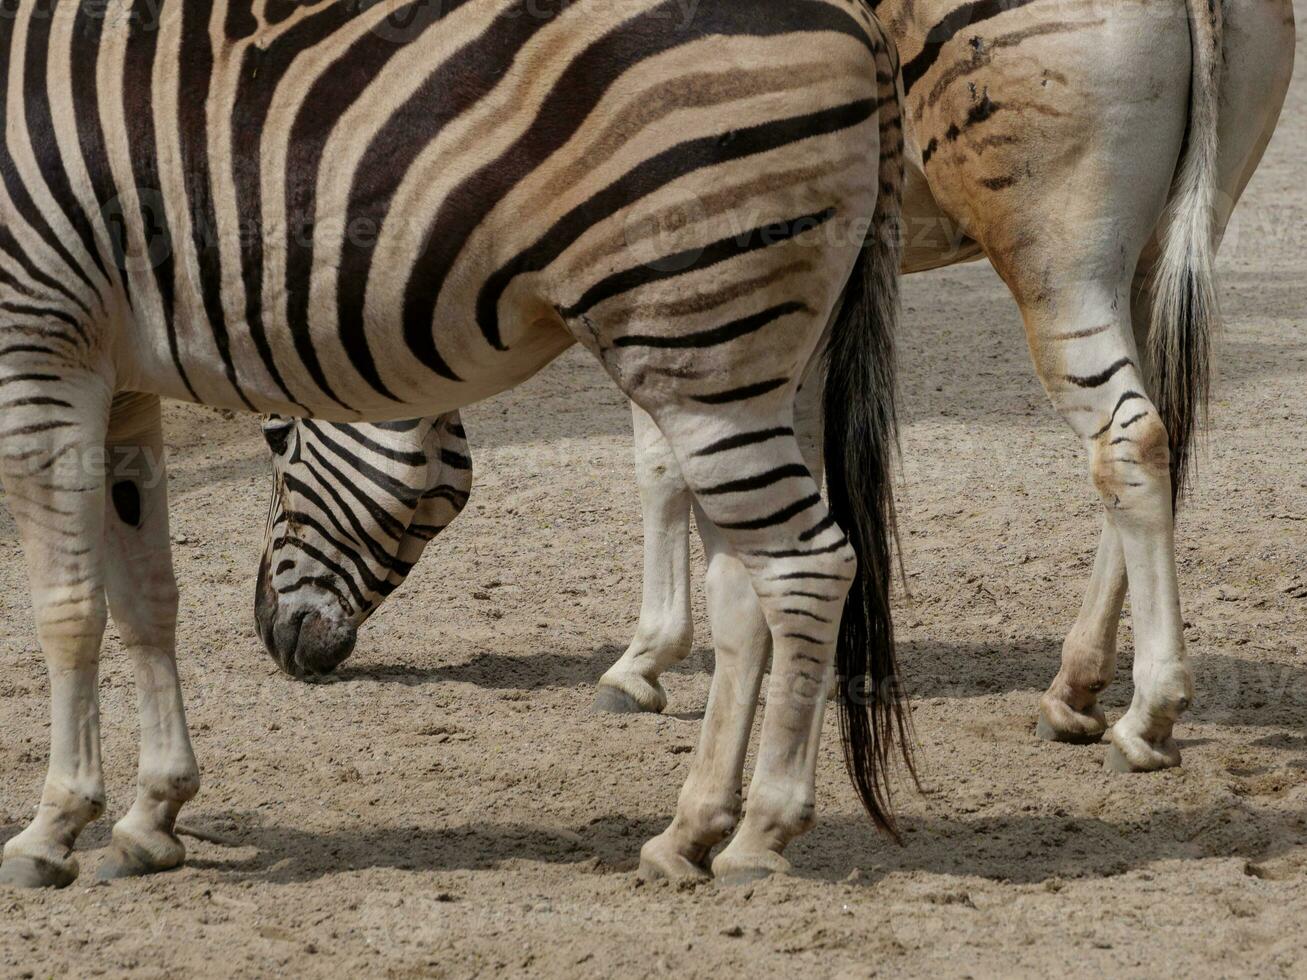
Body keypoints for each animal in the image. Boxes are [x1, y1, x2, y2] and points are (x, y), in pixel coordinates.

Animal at [0, 0, 909, 888]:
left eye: (276, 434)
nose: (270, 634)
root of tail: (860, 18)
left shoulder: (36, 343)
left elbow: (67, 610)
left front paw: (52, 827)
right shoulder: (118, 383)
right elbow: (145, 602)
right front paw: (150, 817)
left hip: (698, 339)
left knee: (807, 566)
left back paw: (761, 833)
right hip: (753, 363)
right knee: (746, 594)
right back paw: (689, 831)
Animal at [254, 1, 1296, 773]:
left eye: (272, 435)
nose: (275, 642)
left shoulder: (653, 269)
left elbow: (659, 469)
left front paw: (646, 660)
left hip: (1054, 252)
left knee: (1127, 439)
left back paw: (1146, 717)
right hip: (1173, 229)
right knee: (1148, 442)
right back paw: (1075, 690)